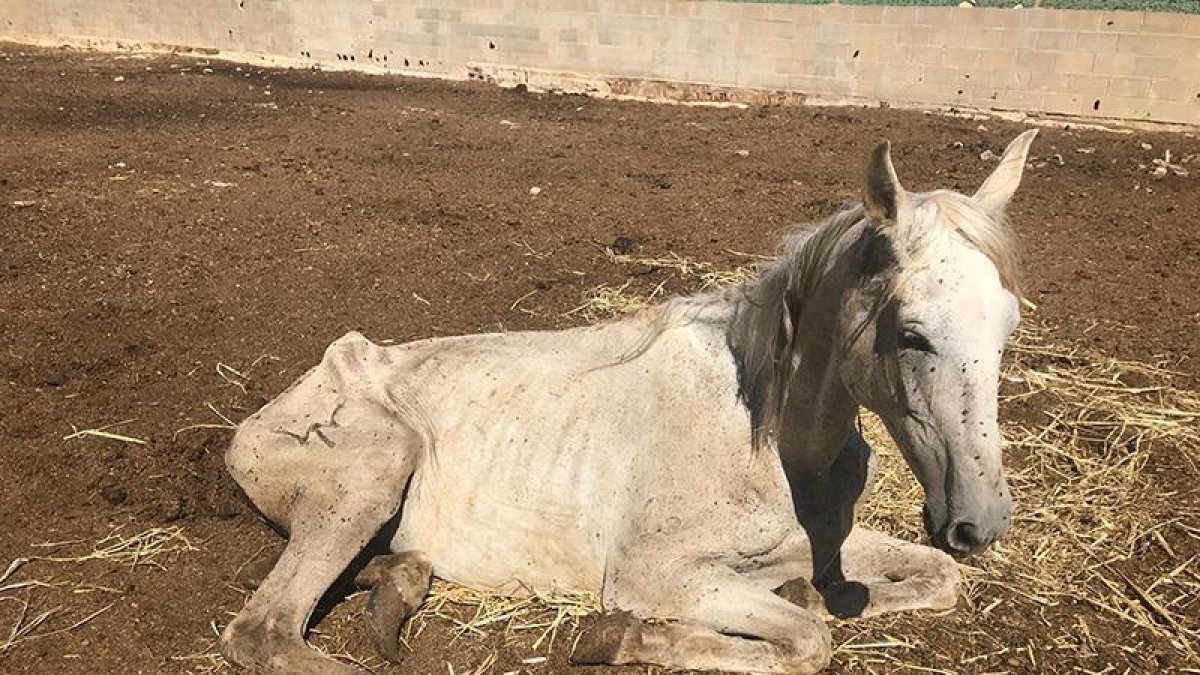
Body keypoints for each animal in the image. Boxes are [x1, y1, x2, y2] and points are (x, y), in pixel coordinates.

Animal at [220, 128, 1036, 667]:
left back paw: (396, 587)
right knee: (264, 633)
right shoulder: (657, 575)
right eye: (912, 333)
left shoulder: (830, 539)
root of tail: (256, 423)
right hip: (374, 470)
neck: (772, 443)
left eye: (1008, 328)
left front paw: (810, 587)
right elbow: (810, 638)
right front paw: (621, 637)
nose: (981, 521)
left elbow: (932, 579)